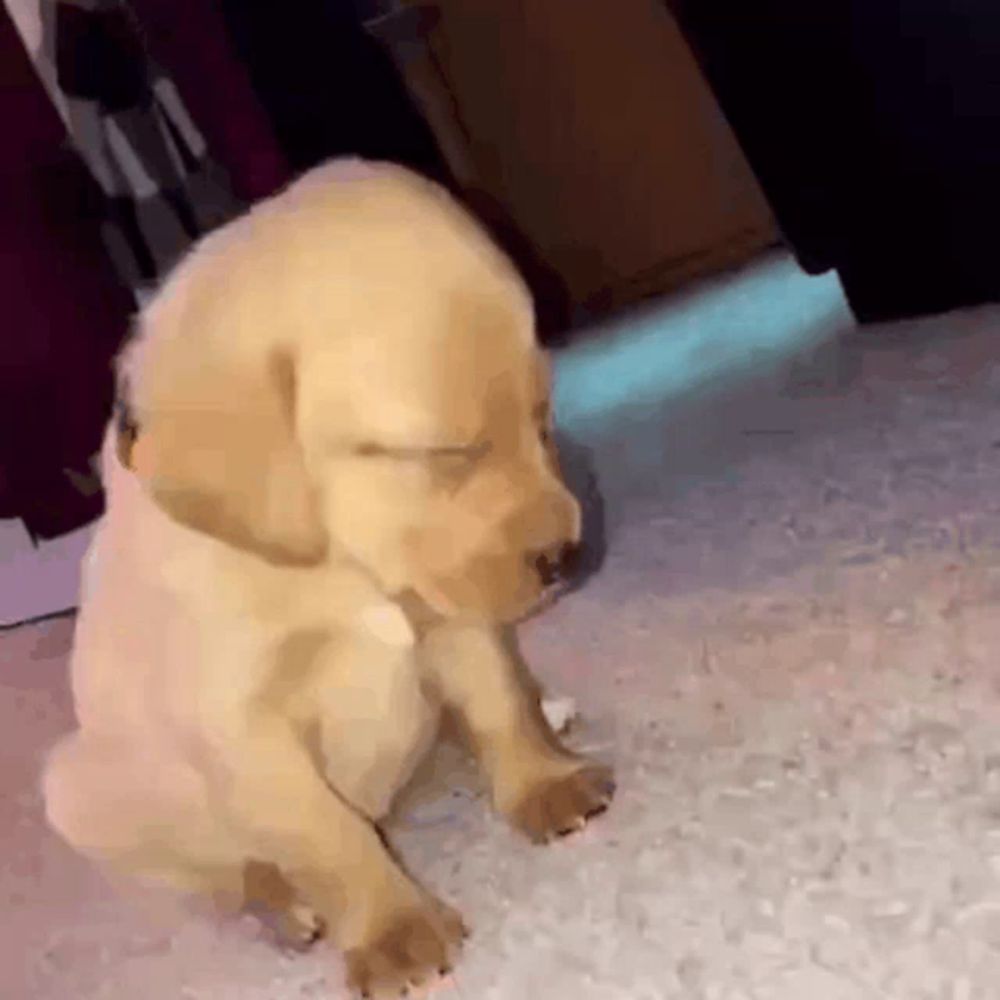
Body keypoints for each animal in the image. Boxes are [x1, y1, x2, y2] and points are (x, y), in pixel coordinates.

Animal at [43, 160, 612, 996]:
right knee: (235, 875)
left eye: (542, 419)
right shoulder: (245, 729)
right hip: (81, 789)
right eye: (444, 452)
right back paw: (282, 907)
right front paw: (393, 930)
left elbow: (499, 705)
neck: (340, 567)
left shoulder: (452, 612)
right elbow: (327, 837)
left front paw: (543, 781)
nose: (569, 559)